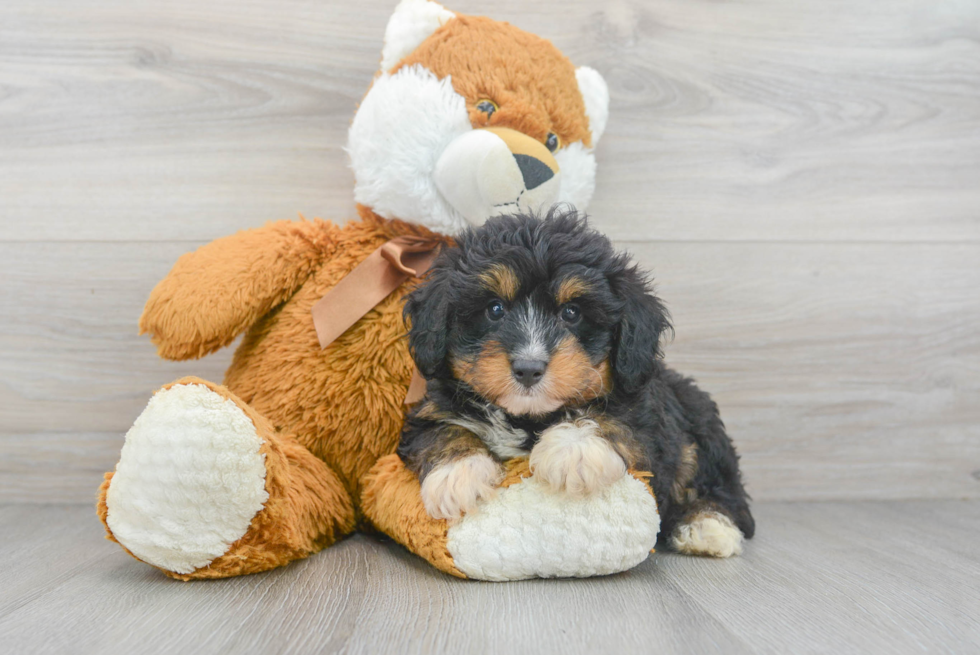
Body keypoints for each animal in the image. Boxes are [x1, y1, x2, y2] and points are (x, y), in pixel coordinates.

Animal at [398, 209, 756, 560]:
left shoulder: (650, 417)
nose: (528, 368)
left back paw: (707, 525)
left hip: (700, 422)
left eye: (571, 312)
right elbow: (440, 430)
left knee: (721, 486)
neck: (528, 417)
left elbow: (622, 419)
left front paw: (574, 448)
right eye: (495, 309)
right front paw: (458, 473)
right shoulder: (428, 412)